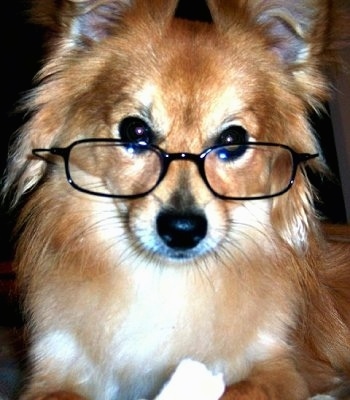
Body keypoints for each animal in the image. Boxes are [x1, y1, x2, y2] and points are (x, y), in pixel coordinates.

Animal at [2, 0, 350, 400]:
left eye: (233, 140)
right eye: (134, 131)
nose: (182, 229)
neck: (164, 278)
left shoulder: (279, 369)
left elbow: (234, 390)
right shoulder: (53, 371)